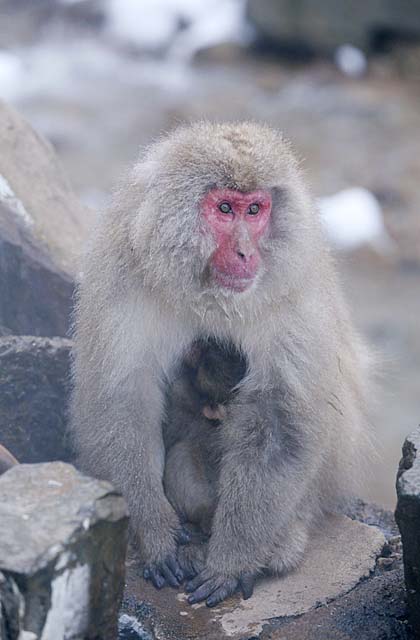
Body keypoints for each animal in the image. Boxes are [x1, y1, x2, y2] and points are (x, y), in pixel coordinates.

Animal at [70, 122, 372, 608]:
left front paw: (232, 560)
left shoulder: (294, 298)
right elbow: (123, 399)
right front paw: (154, 532)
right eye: (225, 209)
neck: (207, 293)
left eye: (255, 210)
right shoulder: (121, 278)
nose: (248, 253)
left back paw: (279, 543)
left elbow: (277, 420)